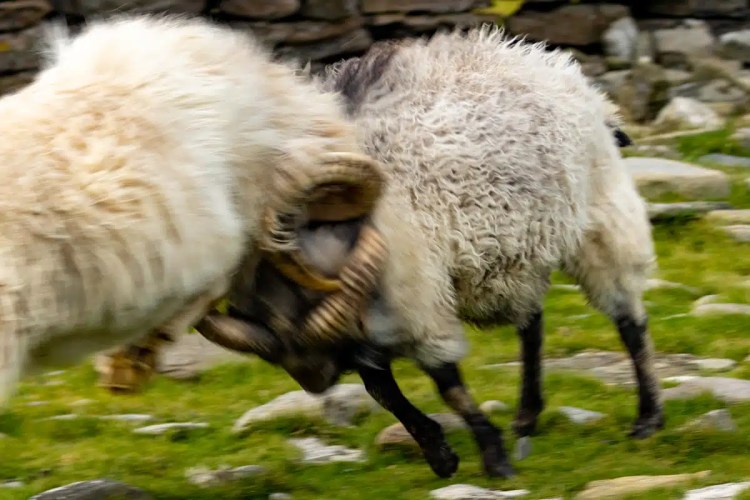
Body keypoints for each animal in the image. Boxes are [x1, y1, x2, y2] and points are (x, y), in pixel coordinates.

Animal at [191, 26, 663, 479]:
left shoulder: (412, 294)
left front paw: (493, 458)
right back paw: (527, 417)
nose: (314, 380)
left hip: (600, 214)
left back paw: (647, 418)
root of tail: (548, 61)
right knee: (532, 324)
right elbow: (381, 390)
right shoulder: (360, 323)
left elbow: (445, 383)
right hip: (521, 249)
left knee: (628, 317)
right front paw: (441, 454)